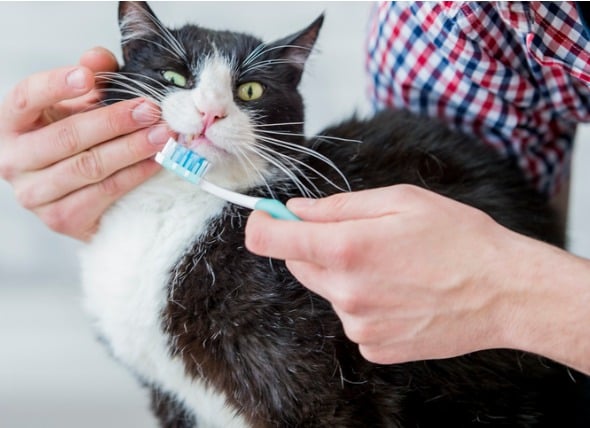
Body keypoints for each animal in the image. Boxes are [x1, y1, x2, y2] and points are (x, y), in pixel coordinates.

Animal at [80, 1, 590, 426]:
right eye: (174, 78)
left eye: (250, 90)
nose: (210, 113)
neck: (176, 204)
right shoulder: (169, 397)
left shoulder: (312, 384)